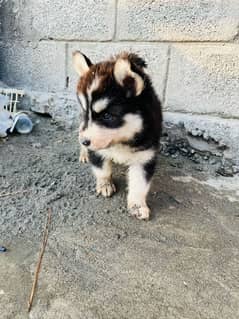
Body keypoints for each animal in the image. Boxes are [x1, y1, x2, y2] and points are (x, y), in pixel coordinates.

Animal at [73, 52, 162, 220]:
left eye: (107, 115)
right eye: (86, 113)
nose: (84, 141)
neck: (119, 141)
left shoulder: (144, 156)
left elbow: (139, 184)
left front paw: (138, 205)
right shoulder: (97, 150)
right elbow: (102, 170)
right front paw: (105, 184)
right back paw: (83, 153)